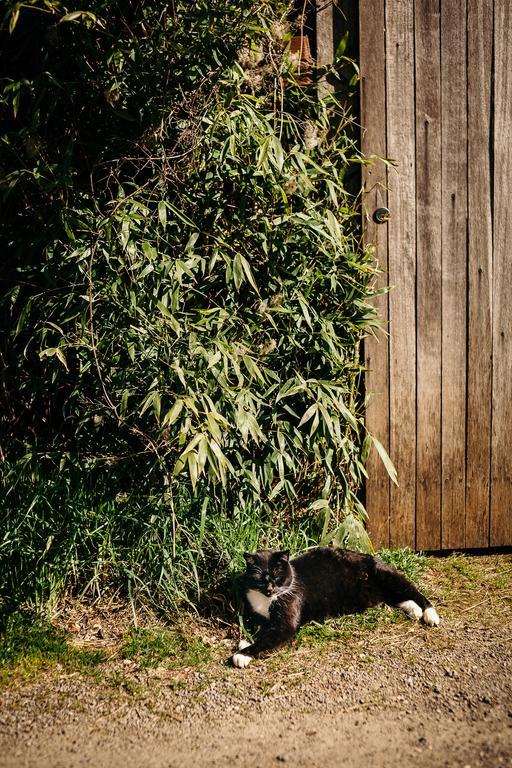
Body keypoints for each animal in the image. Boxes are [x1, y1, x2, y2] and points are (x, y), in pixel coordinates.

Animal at [232, 544, 440, 664]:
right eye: (259, 577)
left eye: (277, 576)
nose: (270, 588)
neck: (267, 600)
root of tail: (372, 556)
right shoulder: (258, 616)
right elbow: (257, 629)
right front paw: (245, 641)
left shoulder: (285, 623)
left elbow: (268, 637)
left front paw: (242, 654)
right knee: (397, 598)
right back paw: (414, 610)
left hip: (389, 577)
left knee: (414, 592)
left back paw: (430, 615)